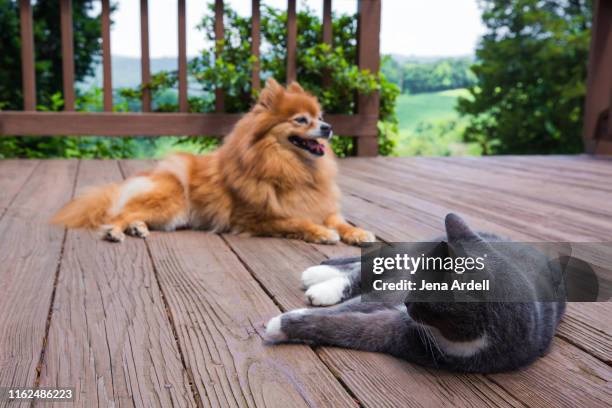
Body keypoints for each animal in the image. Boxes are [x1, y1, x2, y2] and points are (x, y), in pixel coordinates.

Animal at [52, 79, 376, 245]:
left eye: (320, 117)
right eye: (301, 120)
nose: (328, 127)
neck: (293, 168)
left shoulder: (322, 206)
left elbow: (339, 221)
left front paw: (357, 232)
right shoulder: (255, 217)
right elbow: (296, 220)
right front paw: (322, 233)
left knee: (132, 214)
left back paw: (138, 228)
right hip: (171, 202)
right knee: (117, 215)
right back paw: (117, 231)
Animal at [266, 214, 568, 372]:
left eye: (423, 294)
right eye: (416, 282)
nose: (407, 302)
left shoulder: (413, 338)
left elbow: (355, 328)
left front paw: (281, 325)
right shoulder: (395, 292)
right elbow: (350, 307)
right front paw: (285, 319)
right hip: (403, 261)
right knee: (365, 268)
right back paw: (320, 279)